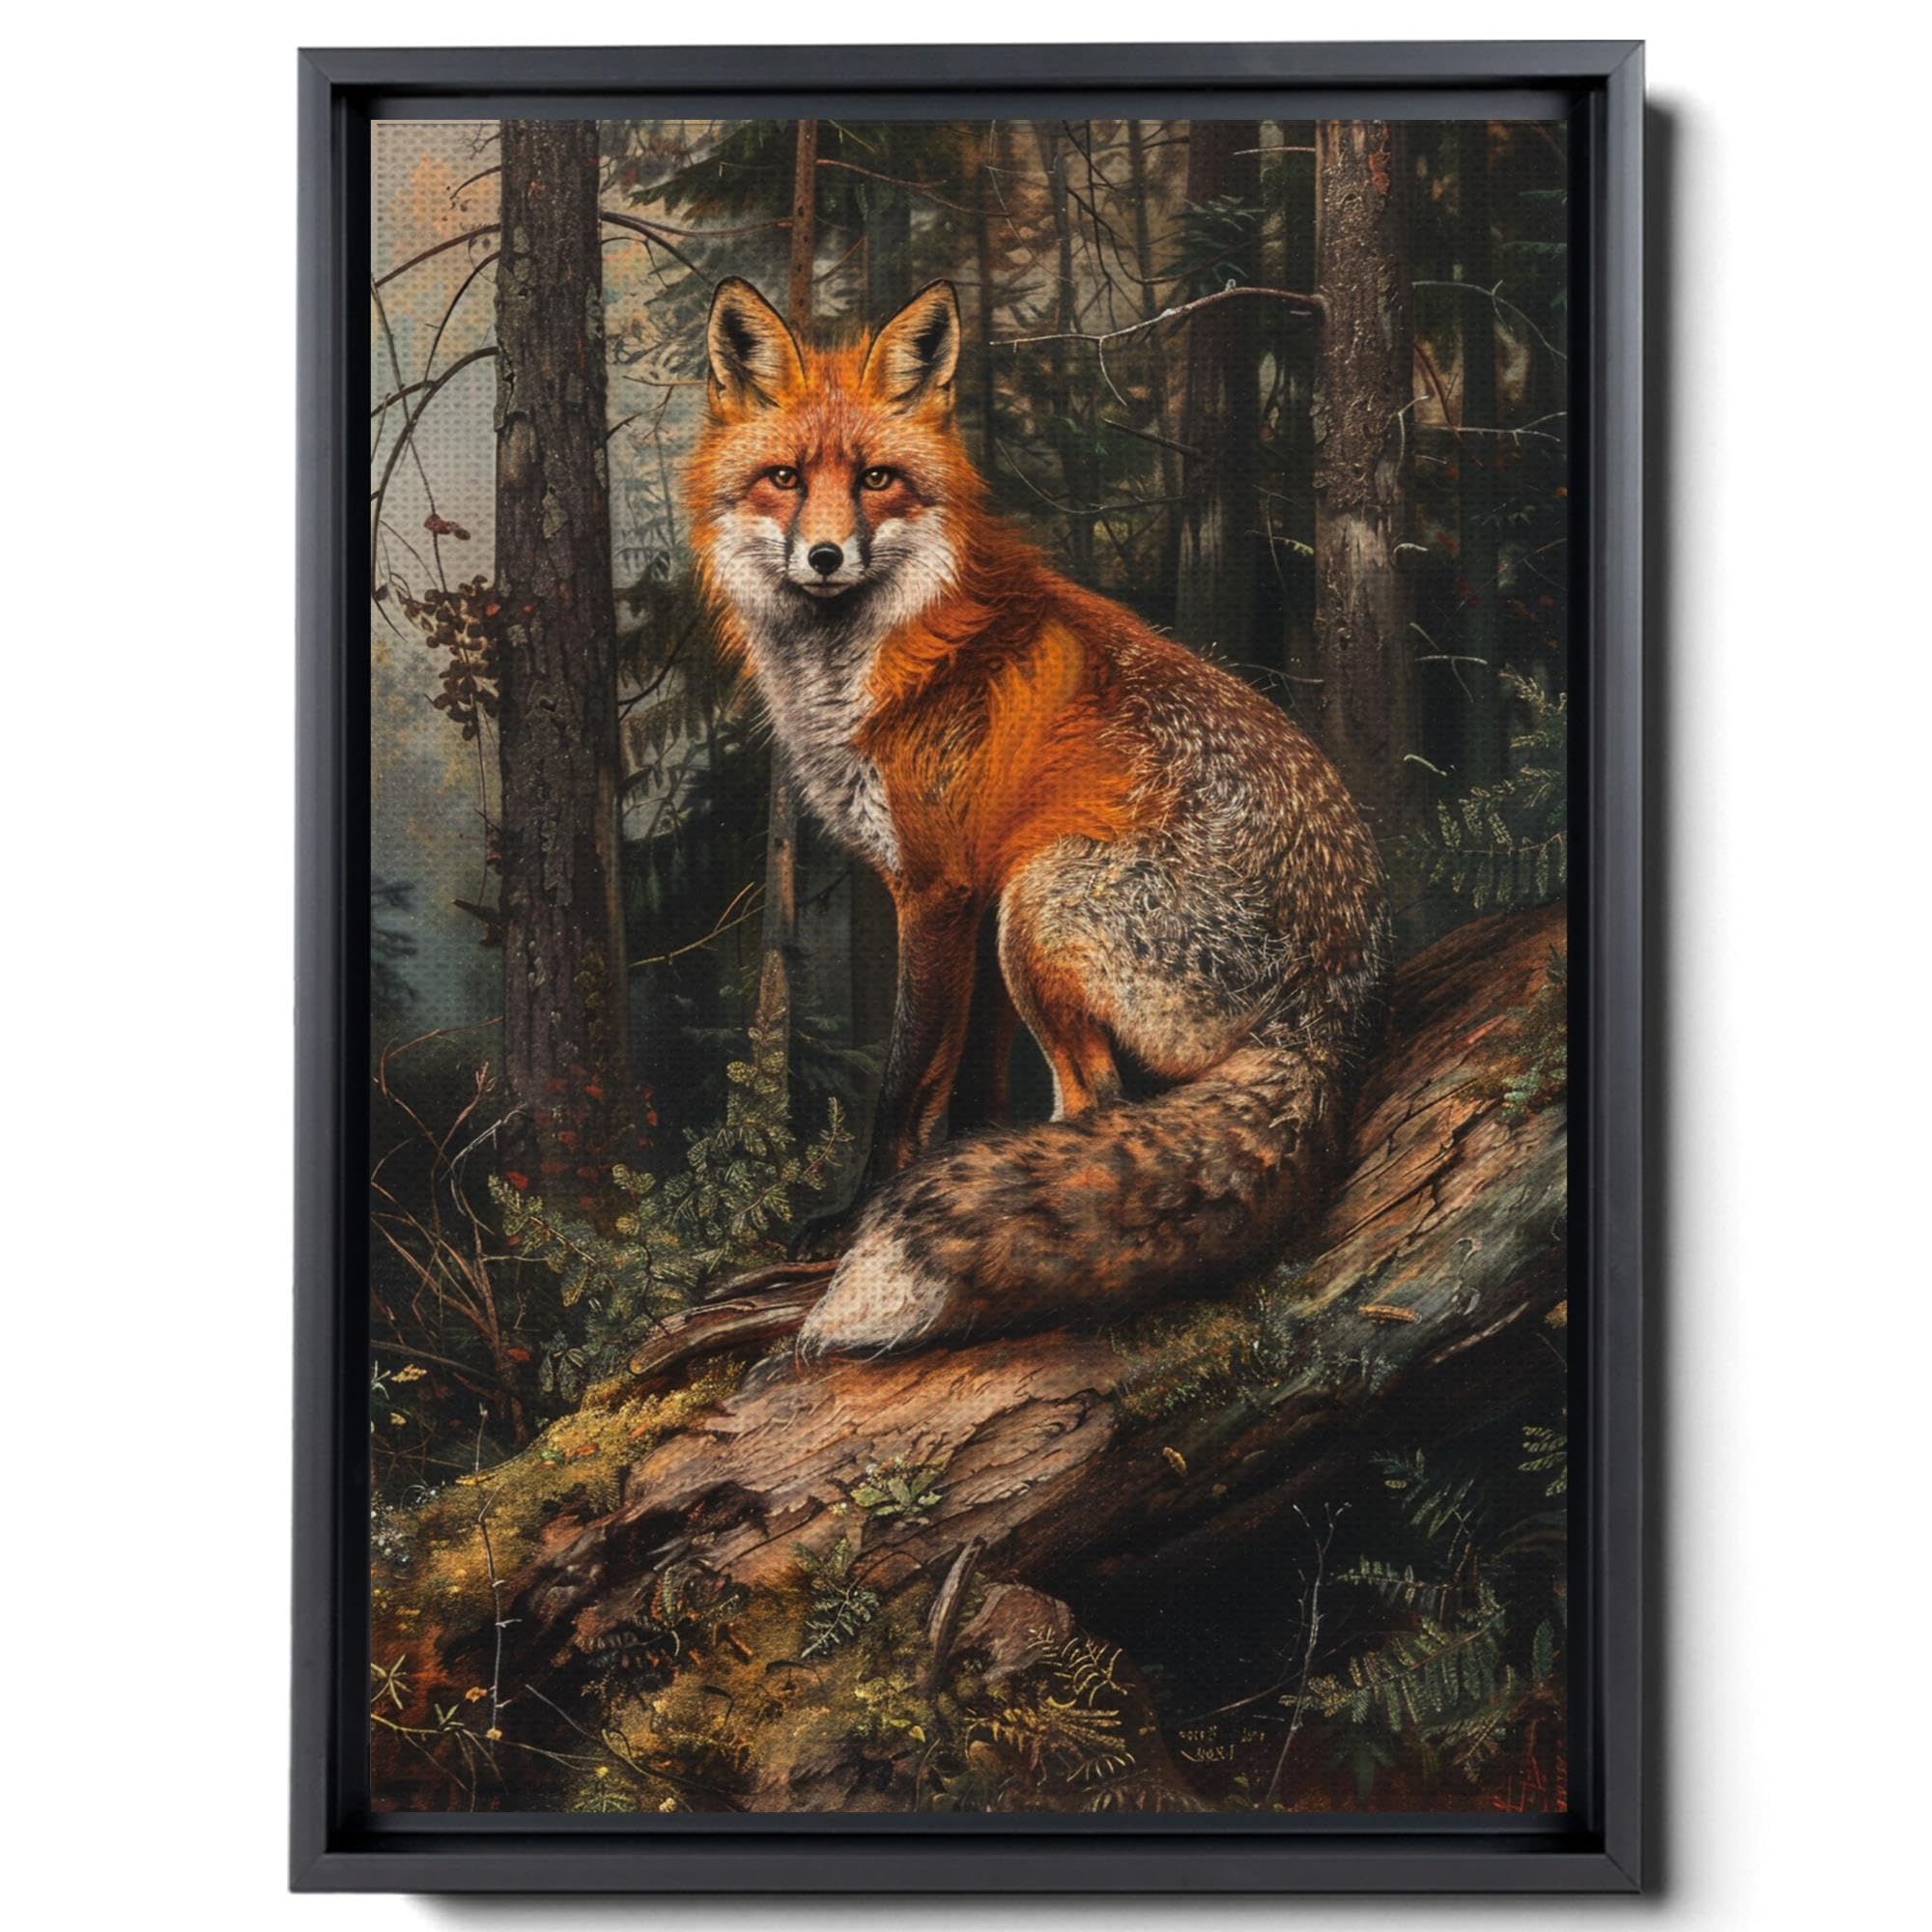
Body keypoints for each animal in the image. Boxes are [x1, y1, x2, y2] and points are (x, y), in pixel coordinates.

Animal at [689, 276, 1391, 1359]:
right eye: (783, 478)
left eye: (878, 479)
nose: (825, 556)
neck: (872, 662)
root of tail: (1337, 992)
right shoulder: (968, 896)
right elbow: (965, 1077)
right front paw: (962, 1161)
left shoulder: (939, 890)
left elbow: (903, 1078)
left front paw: (858, 1215)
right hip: (1025, 911)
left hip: (1044, 901)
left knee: (1099, 1100)